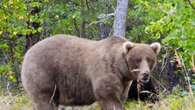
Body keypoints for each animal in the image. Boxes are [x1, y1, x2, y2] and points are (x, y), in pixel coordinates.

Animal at [21, 34, 161, 110]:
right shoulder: (105, 71)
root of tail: (27, 53)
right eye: (137, 59)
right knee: (46, 100)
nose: (145, 74)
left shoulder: (124, 83)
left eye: (149, 59)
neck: (121, 69)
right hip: (44, 73)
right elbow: (109, 96)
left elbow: (120, 96)